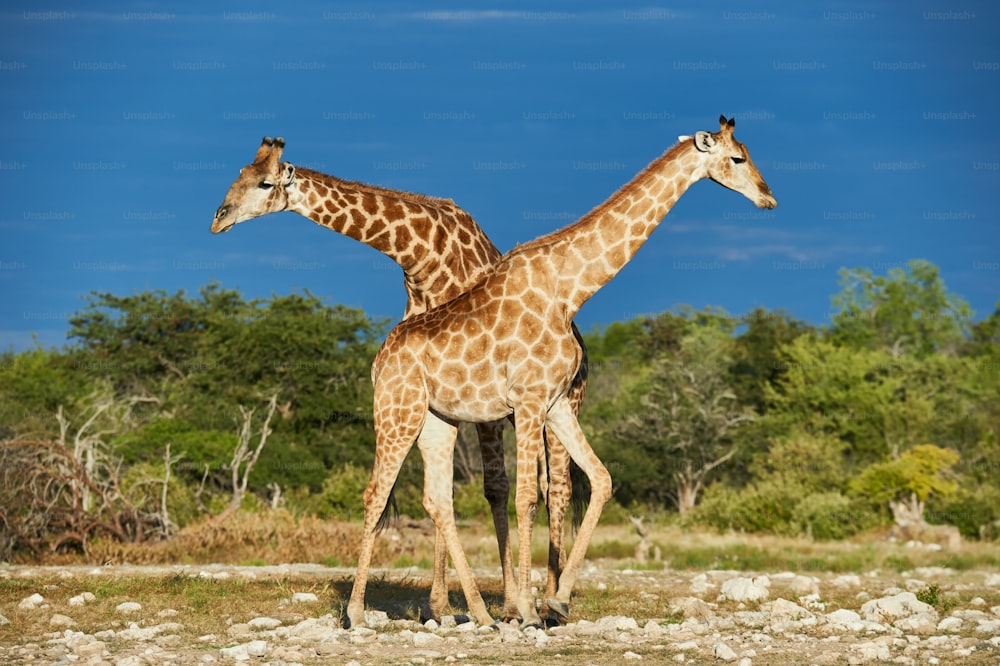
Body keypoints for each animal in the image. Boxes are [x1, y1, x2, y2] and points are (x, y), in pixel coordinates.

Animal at [211, 137, 584, 620]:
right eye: (237, 174)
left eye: (264, 183)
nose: (218, 218)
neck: (419, 257)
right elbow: (441, 491)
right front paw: (439, 606)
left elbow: (488, 488)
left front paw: (479, 603)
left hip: (560, 403)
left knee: (555, 486)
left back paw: (550, 599)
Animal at [348, 116, 776, 624]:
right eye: (737, 158)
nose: (768, 197)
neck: (571, 289)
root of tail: (378, 360)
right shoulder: (529, 400)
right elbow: (528, 496)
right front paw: (528, 611)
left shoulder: (555, 403)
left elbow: (601, 480)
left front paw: (557, 599)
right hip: (397, 412)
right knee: (376, 493)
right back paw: (356, 613)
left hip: (438, 420)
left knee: (437, 499)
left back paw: (481, 614)